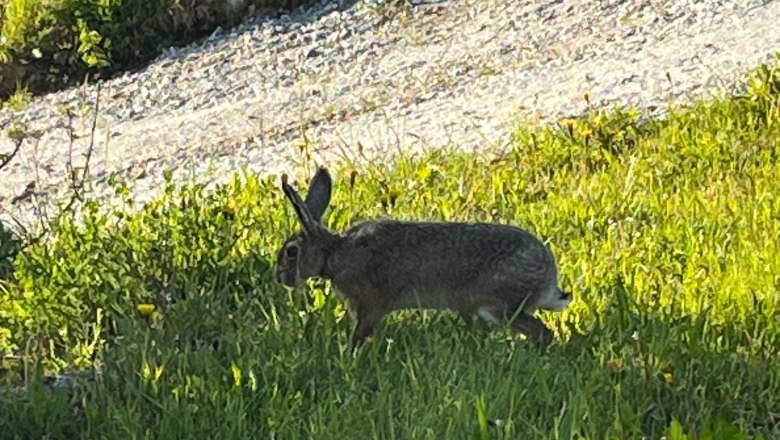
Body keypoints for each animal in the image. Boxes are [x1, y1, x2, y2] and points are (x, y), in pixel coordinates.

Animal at [275, 167, 573, 348]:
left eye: (292, 251)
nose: (280, 278)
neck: (335, 253)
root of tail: (548, 279)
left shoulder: (370, 306)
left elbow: (360, 334)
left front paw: (350, 355)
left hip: (497, 305)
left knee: (543, 333)